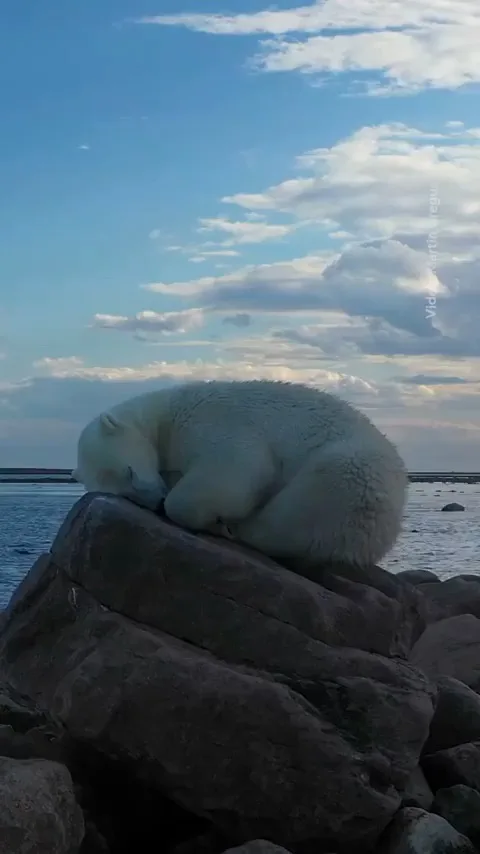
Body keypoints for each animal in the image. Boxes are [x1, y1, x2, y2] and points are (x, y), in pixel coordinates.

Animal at [73, 379, 408, 568]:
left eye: (129, 471)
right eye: (125, 494)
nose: (156, 501)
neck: (168, 412)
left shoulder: (215, 420)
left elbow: (239, 468)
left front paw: (187, 508)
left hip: (352, 474)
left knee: (297, 511)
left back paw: (235, 528)